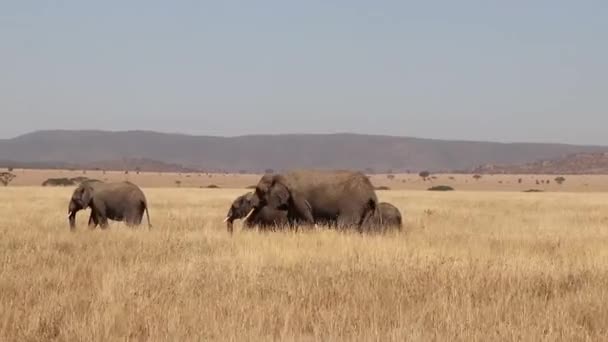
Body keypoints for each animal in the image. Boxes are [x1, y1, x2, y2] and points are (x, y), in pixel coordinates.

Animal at [249, 170, 378, 231]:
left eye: (259, 190)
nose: (250, 202)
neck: (280, 176)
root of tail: (370, 191)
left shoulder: (298, 198)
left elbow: (305, 220)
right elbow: (293, 219)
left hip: (353, 204)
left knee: (344, 225)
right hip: (368, 206)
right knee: (365, 226)